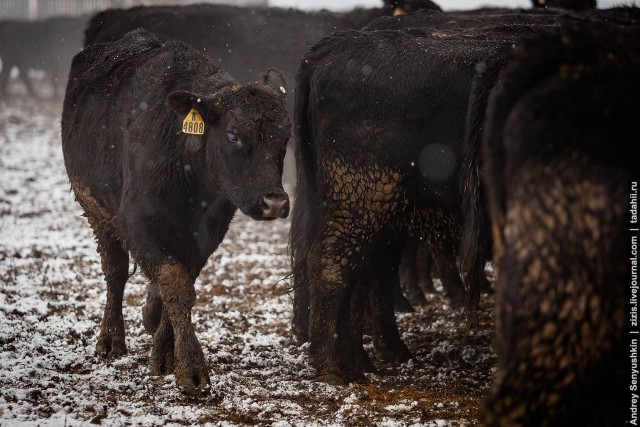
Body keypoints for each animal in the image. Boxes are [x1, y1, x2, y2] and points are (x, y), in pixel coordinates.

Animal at [60, 29, 290, 398]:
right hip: (96, 212)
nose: (276, 202)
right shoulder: (138, 224)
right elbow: (175, 283)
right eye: (233, 135)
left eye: (285, 136)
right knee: (115, 271)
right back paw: (110, 340)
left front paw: (164, 351)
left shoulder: (206, 235)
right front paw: (191, 370)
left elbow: (182, 284)